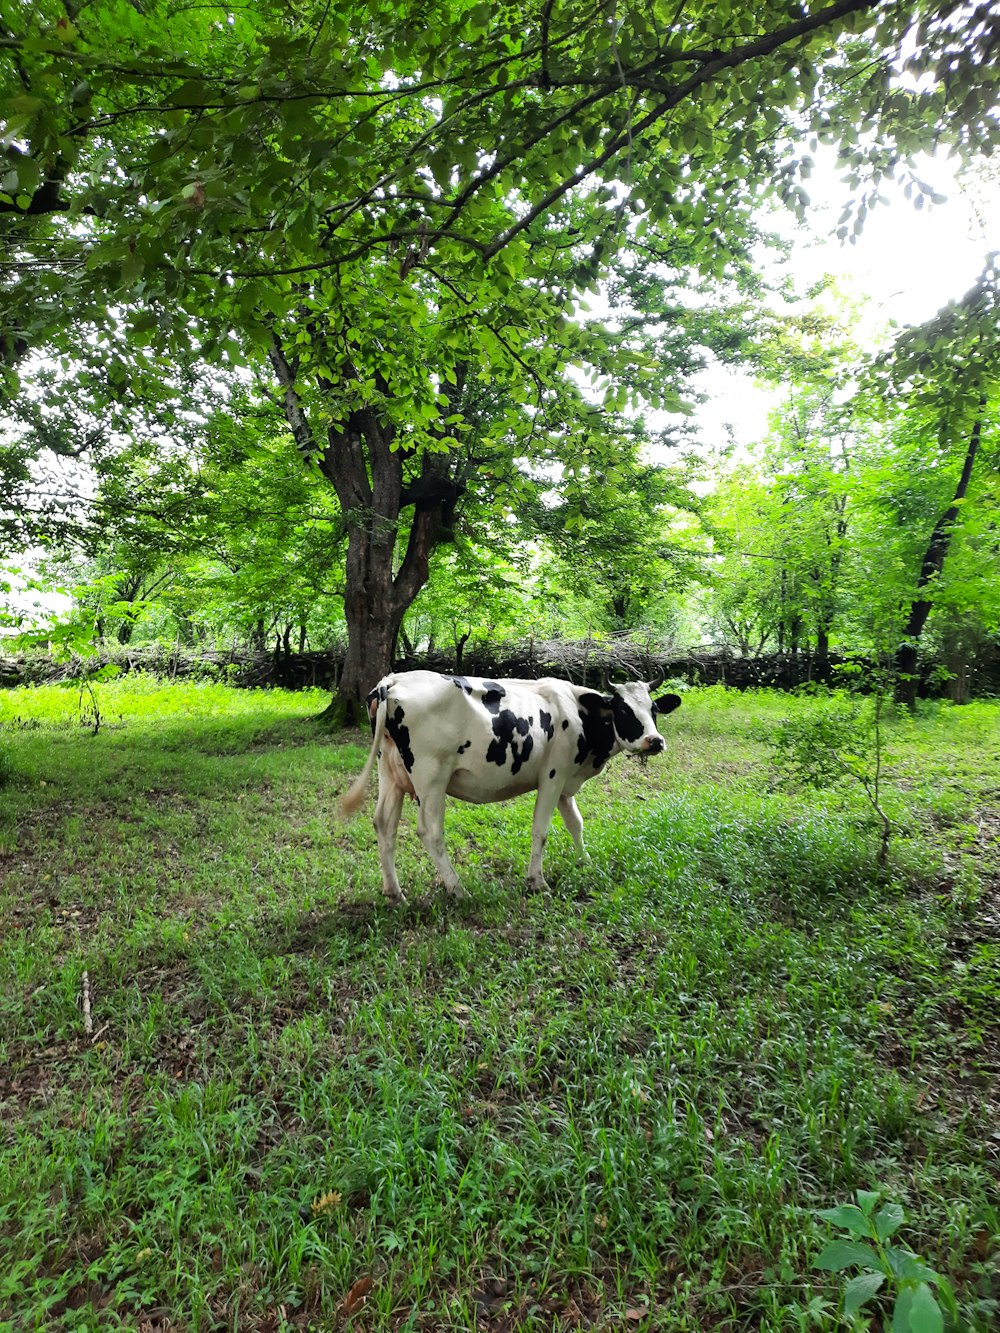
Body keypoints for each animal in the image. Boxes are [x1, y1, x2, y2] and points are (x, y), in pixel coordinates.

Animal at [344, 666, 682, 906]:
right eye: (624, 710)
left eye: (654, 709)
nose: (655, 741)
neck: (579, 712)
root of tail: (392, 680)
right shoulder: (553, 776)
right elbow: (541, 830)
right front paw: (537, 882)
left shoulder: (566, 782)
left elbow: (576, 824)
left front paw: (585, 862)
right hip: (431, 778)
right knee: (430, 832)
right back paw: (457, 888)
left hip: (391, 773)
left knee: (384, 825)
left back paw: (394, 893)